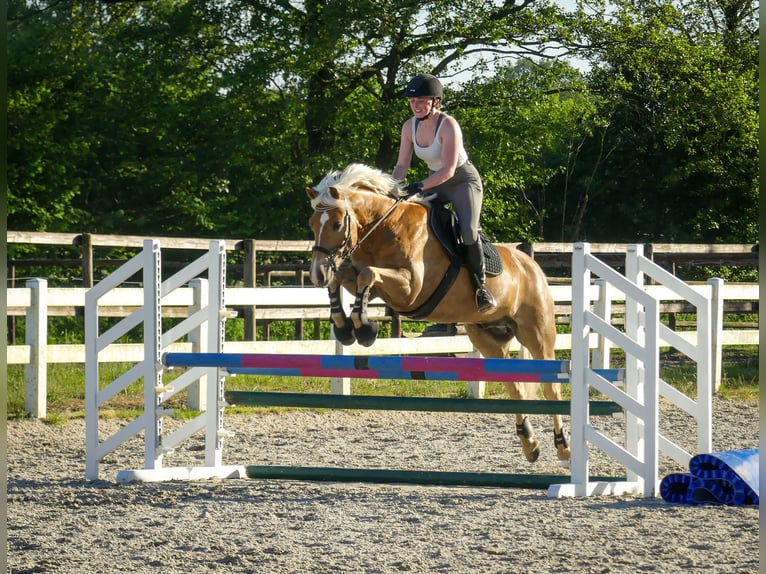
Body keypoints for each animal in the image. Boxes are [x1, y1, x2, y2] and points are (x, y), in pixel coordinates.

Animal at [308, 163, 568, 468]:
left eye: (336, 224)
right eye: (312, 225)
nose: (317, 274)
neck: (385, 228)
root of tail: (531, 265)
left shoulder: (410, 290)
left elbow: (367, 274)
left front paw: (363, 329)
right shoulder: (375, 285)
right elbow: (349, 278)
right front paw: (345, 326)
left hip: (537, 334)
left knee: (552, 388)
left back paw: (563, 447)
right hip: (487, 338)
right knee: (513, 386)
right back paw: (530, 444)